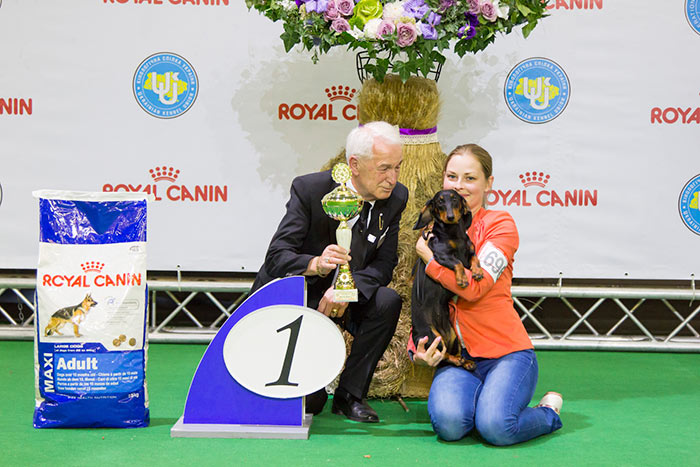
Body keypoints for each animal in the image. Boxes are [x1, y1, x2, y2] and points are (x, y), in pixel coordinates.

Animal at [411, 189, 484, 370]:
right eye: (439, 202)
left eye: (455, 199)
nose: (450, 217)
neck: (454, 234)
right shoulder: (442, 254)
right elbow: (457, 262)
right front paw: (462, 280)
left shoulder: (470, 251)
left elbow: (474, 259)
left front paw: (477, 272)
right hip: (431, 337)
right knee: (443, 356)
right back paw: (458, 360)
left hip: (453, 336)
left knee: (452, 354)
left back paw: (466, 362)